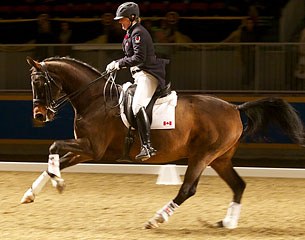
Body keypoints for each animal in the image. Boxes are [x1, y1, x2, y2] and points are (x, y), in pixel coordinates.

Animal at [22, 55, 304, 229]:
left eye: (39, 82)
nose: (39, 115)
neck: (94, 99)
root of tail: (235, 108)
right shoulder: (86, 150)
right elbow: (53, 162)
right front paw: (32, 192)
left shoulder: (92, 148)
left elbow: (54, 146)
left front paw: (58, 183)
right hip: (219, 158)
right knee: (238, 185)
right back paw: (228, 223)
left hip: (202, 156)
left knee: (188, 189)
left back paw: (156, 219)